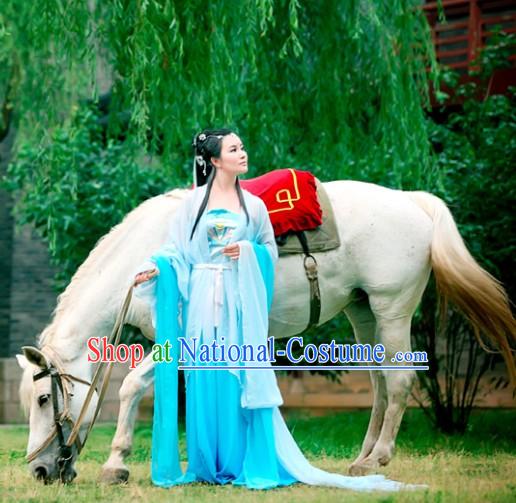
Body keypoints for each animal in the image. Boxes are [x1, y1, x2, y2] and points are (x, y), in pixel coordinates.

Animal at [17, 181, 516, 484]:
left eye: (43, 399)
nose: (40, 471)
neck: (143, 259)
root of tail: (412, 201)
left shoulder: (177, 339)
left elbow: (132, 387)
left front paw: (116, 463)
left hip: (392, 309)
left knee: (400, 381)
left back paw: (379, 458)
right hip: (364, 313)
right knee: (378, 383)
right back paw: (362, 458)